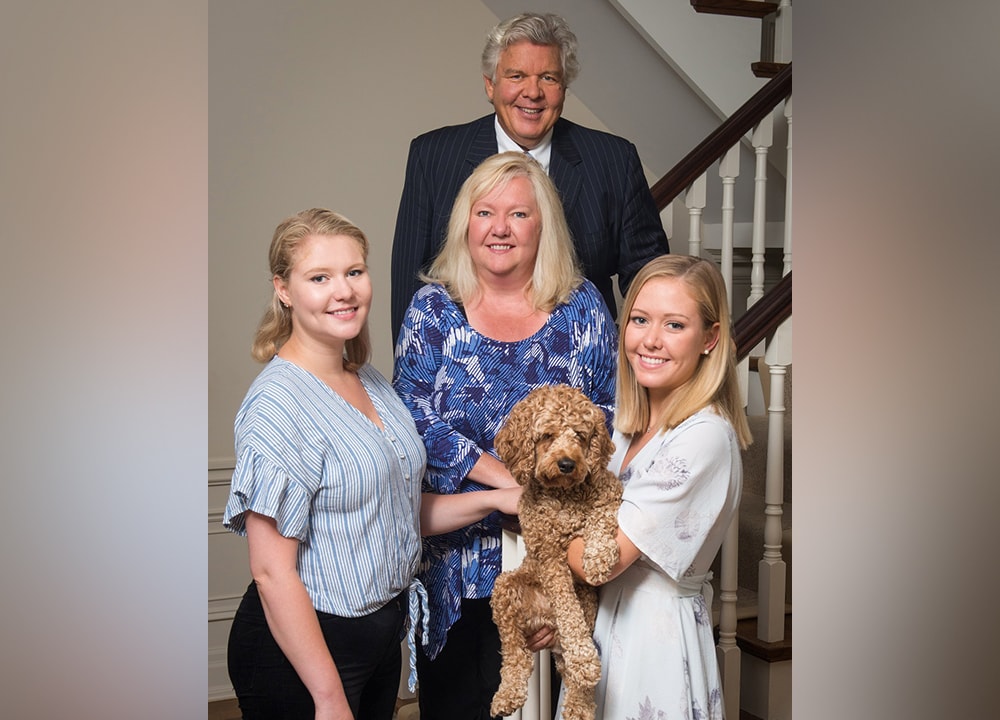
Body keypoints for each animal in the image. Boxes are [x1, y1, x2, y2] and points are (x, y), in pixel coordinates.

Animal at [490, 386, 620, 720]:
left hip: (588, 603)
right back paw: (508, 693)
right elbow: (567, 608)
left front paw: (598, 557)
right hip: (506, 588)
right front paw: (584, 658)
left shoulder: (610, 494)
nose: (567, 464)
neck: (563, 492)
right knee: (516, 655)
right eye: (547, 435)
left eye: (580, 435)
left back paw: (579, 705)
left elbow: (599, 519)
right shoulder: (548, 556)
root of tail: (545, 620)